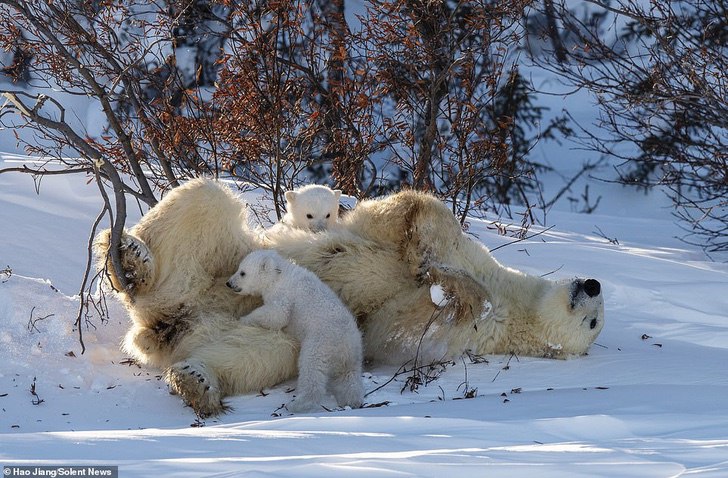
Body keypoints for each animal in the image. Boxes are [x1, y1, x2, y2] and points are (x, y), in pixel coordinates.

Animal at [94, 177, 604, 416]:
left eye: (594, 322)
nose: (594, 285)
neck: (512, 304)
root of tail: (160, 323)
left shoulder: (467, 338)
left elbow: (391, 330)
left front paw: (446, 288)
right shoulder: (471, 255)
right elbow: (417, 214)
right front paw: (426, 258)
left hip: (223, 320)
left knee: (262, 348)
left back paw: (197, 381)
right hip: (218, 257)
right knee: (206, 198)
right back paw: (132, 256)